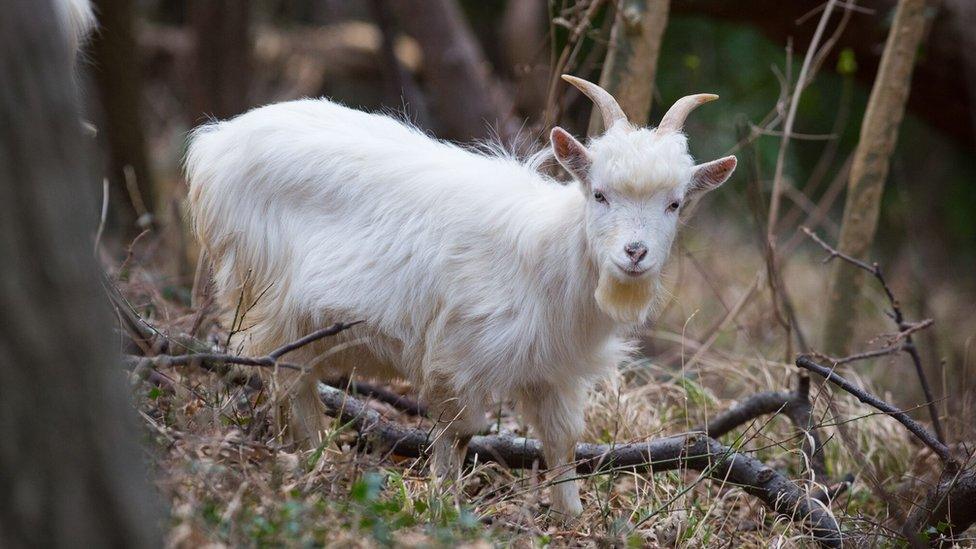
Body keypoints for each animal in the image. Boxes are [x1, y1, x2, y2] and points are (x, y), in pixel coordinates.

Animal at [183, 75, 736, 516]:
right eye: (599, 194)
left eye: (675, 204)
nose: (635, 253)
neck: (551, 252)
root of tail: (215, 142)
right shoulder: (457, 354)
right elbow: (460, 430)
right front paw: (443, 502)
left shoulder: (553, 369)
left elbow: (562, 441)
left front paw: (572, 516)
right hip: (266, 293)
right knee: (286, 375)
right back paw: (309, 458)